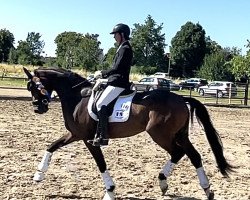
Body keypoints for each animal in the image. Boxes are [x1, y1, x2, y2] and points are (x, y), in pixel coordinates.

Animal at [22, 67, 233, 200]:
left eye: (34, 87)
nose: (38, 109)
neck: (77, 97)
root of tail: (181, 99)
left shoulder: (89, 139)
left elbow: (101, 164)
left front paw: (110, 191)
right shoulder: (75, 134)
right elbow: (51, 146)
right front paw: (38, 175)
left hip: (160, 134)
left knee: (178, 153)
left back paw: (164, 182)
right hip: (180, 135)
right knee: (193, 155)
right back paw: (206, 189)